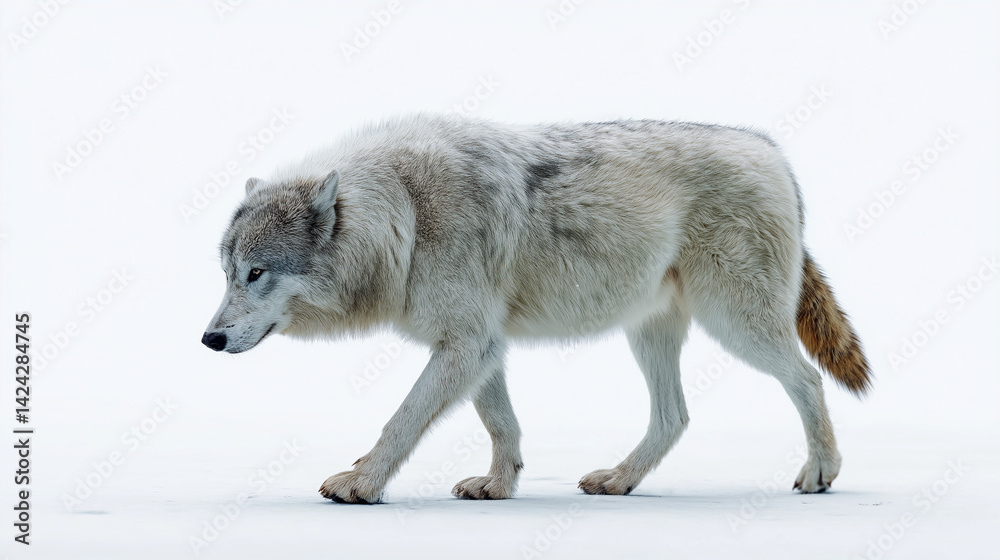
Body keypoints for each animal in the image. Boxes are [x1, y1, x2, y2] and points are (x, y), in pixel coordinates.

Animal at [202, 114, 871, 504]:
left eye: (256, 273)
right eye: (227, 274)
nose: (209, 339)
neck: (406, 217)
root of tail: (773, 152)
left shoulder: (464, 344)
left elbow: (402, 419)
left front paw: (361, 485)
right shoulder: (480, 345)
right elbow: (502, 424)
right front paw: (499, 486)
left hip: (736, 325)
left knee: (807, 379)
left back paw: (821, 473)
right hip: (649, 334)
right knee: (675, 417)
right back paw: (619, 481)